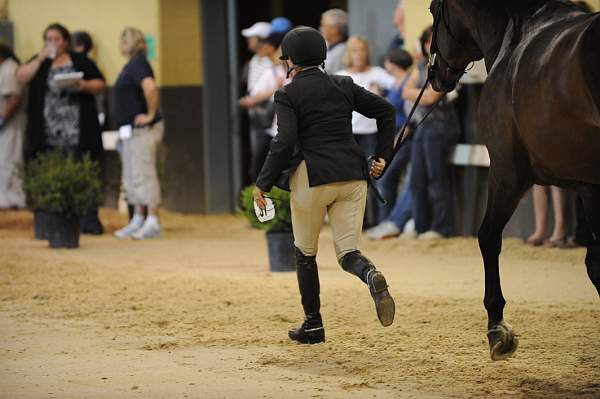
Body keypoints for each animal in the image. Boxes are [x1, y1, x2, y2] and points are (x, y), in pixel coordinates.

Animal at [426, 0, 600, 360]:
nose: (434, 73)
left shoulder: (506, 173)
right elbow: (595, 263)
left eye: (434, 10)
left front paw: (497, 329)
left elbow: (488, 237)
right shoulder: (589, 186)